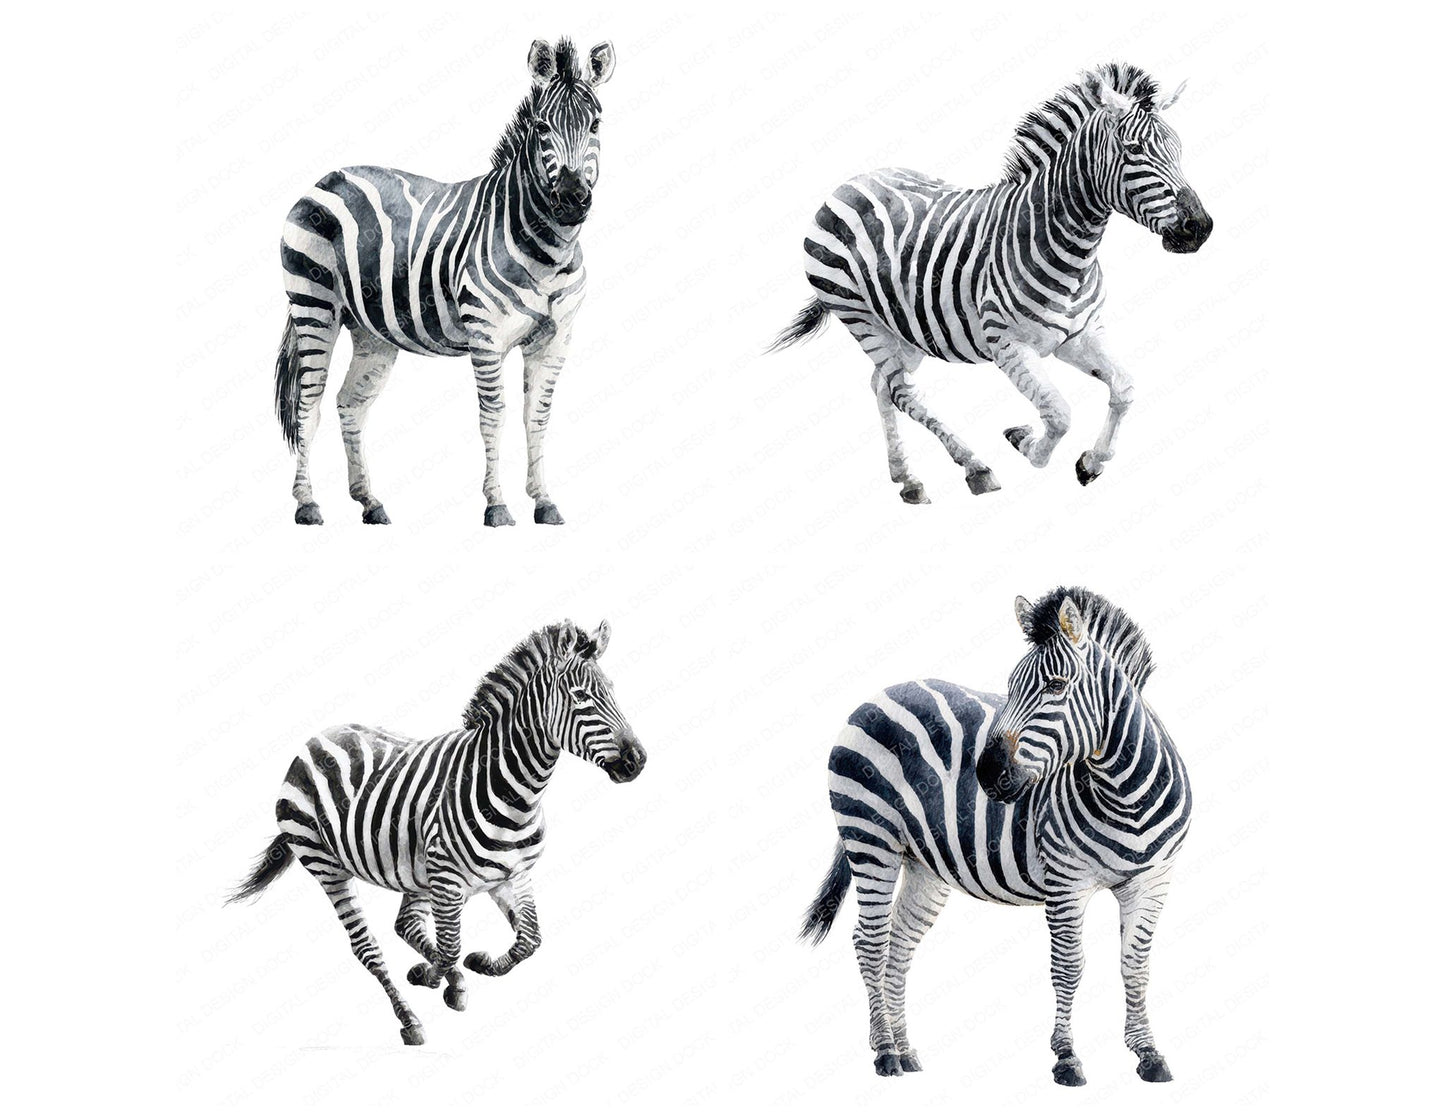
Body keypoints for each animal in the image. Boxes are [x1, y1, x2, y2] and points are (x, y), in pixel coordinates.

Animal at [227, 620, 646, 1046]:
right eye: (581, 696)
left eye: (612, 689)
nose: (637, 761)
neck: (516, 794)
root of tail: (317, 738)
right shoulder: (447, 880)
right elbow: (451, 947)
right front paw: (431, 976)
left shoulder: (514, 875)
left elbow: (529, 939)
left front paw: (479, 964)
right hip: (327, 864)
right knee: (368, 947)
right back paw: (410, 1018)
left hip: (414, 869)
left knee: (407, 925)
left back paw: (451, 982)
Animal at [275, 37, 616, 526]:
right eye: (541, 126)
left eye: (596, 123)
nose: (571, 200)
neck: (551, 250)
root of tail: (328, 177)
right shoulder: (486, 336)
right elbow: (494, 415)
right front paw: (497, 505)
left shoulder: (557, 339)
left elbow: (537, 416)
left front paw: (545, 501)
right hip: (314, 306)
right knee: (308, 403)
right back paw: (307, 504)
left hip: (371, 330)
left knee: (349, 404)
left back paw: (370, 501)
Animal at [769, 63, 1212, 502]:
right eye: (1133, 150)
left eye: (1178, 149)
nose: (1200, 228)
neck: (1069, 248)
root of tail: (849, 184)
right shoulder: (1007, 343)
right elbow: (1058, 413)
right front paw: (1024, 441)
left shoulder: (1080, 335)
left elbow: (1124, 389)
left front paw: (1091, 462)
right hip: (860, 316)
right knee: (902, 392)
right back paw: (975, 468)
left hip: (904, 327)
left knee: (883, 385)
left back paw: (907, 477)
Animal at [801, 588, 1191, 1085]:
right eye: (1010, 686)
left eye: (1056, 687)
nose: (986, 773)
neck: (1126, 796)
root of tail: (878, 695)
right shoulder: (1066, 883)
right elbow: (1068, 967)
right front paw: (1066, 1058)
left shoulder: (1153, 882)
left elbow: (1135, 966)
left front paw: (1149, 1054)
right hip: (870, 838)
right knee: (870, 942)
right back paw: (885, 1053)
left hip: (921, 862)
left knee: (899, 946)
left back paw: (905, 1052)